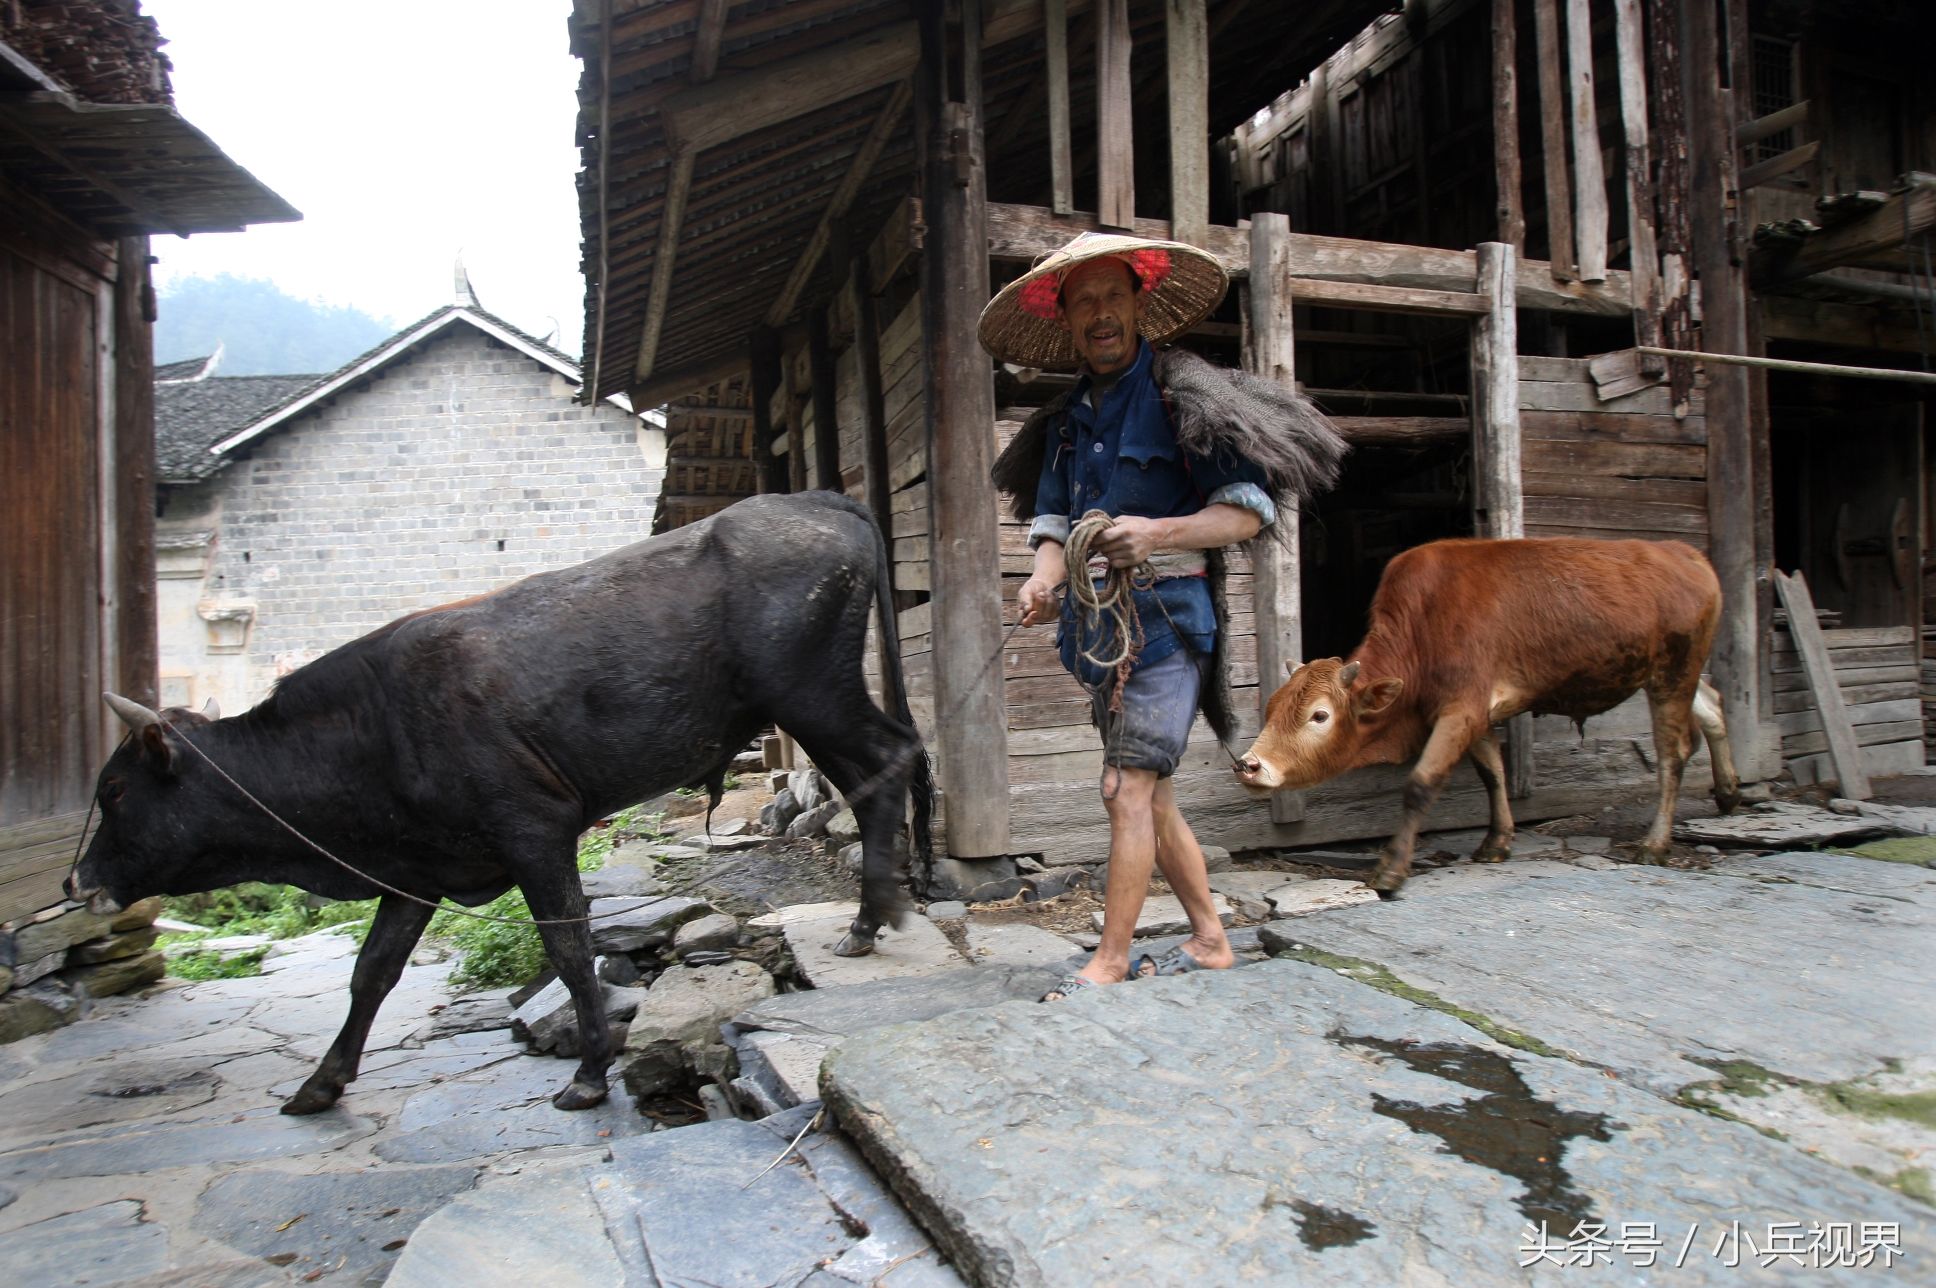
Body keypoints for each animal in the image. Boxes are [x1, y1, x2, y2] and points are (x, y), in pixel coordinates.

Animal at [79, 488, 940, 1107]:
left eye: (114, 787)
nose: (78, 880)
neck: (369, 728)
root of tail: (817, 499)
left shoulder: (536, 830)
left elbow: (568, 948)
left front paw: (589, 1075)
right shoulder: (416, 874)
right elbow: (371, 973)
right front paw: (321, 1081)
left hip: (814, 698)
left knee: (892, 760)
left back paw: (875, 914)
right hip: (817, 706)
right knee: (892, 766)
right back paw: (881, 911)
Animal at [1231, 538, 1750, 890]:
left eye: (1319, 716)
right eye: (1272, 706)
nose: (1249, 766)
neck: (1424, 627)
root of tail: (1683, 552)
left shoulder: (1460, 708)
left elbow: (1421, 784)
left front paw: (1390, 869)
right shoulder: (1474, 712)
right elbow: (1492, 773)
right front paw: (1496, 841)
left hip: (1671, 674)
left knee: (1673, 753)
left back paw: (1655, 843)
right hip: (1674, 674)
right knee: (1713, 705)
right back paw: (1727, 792)